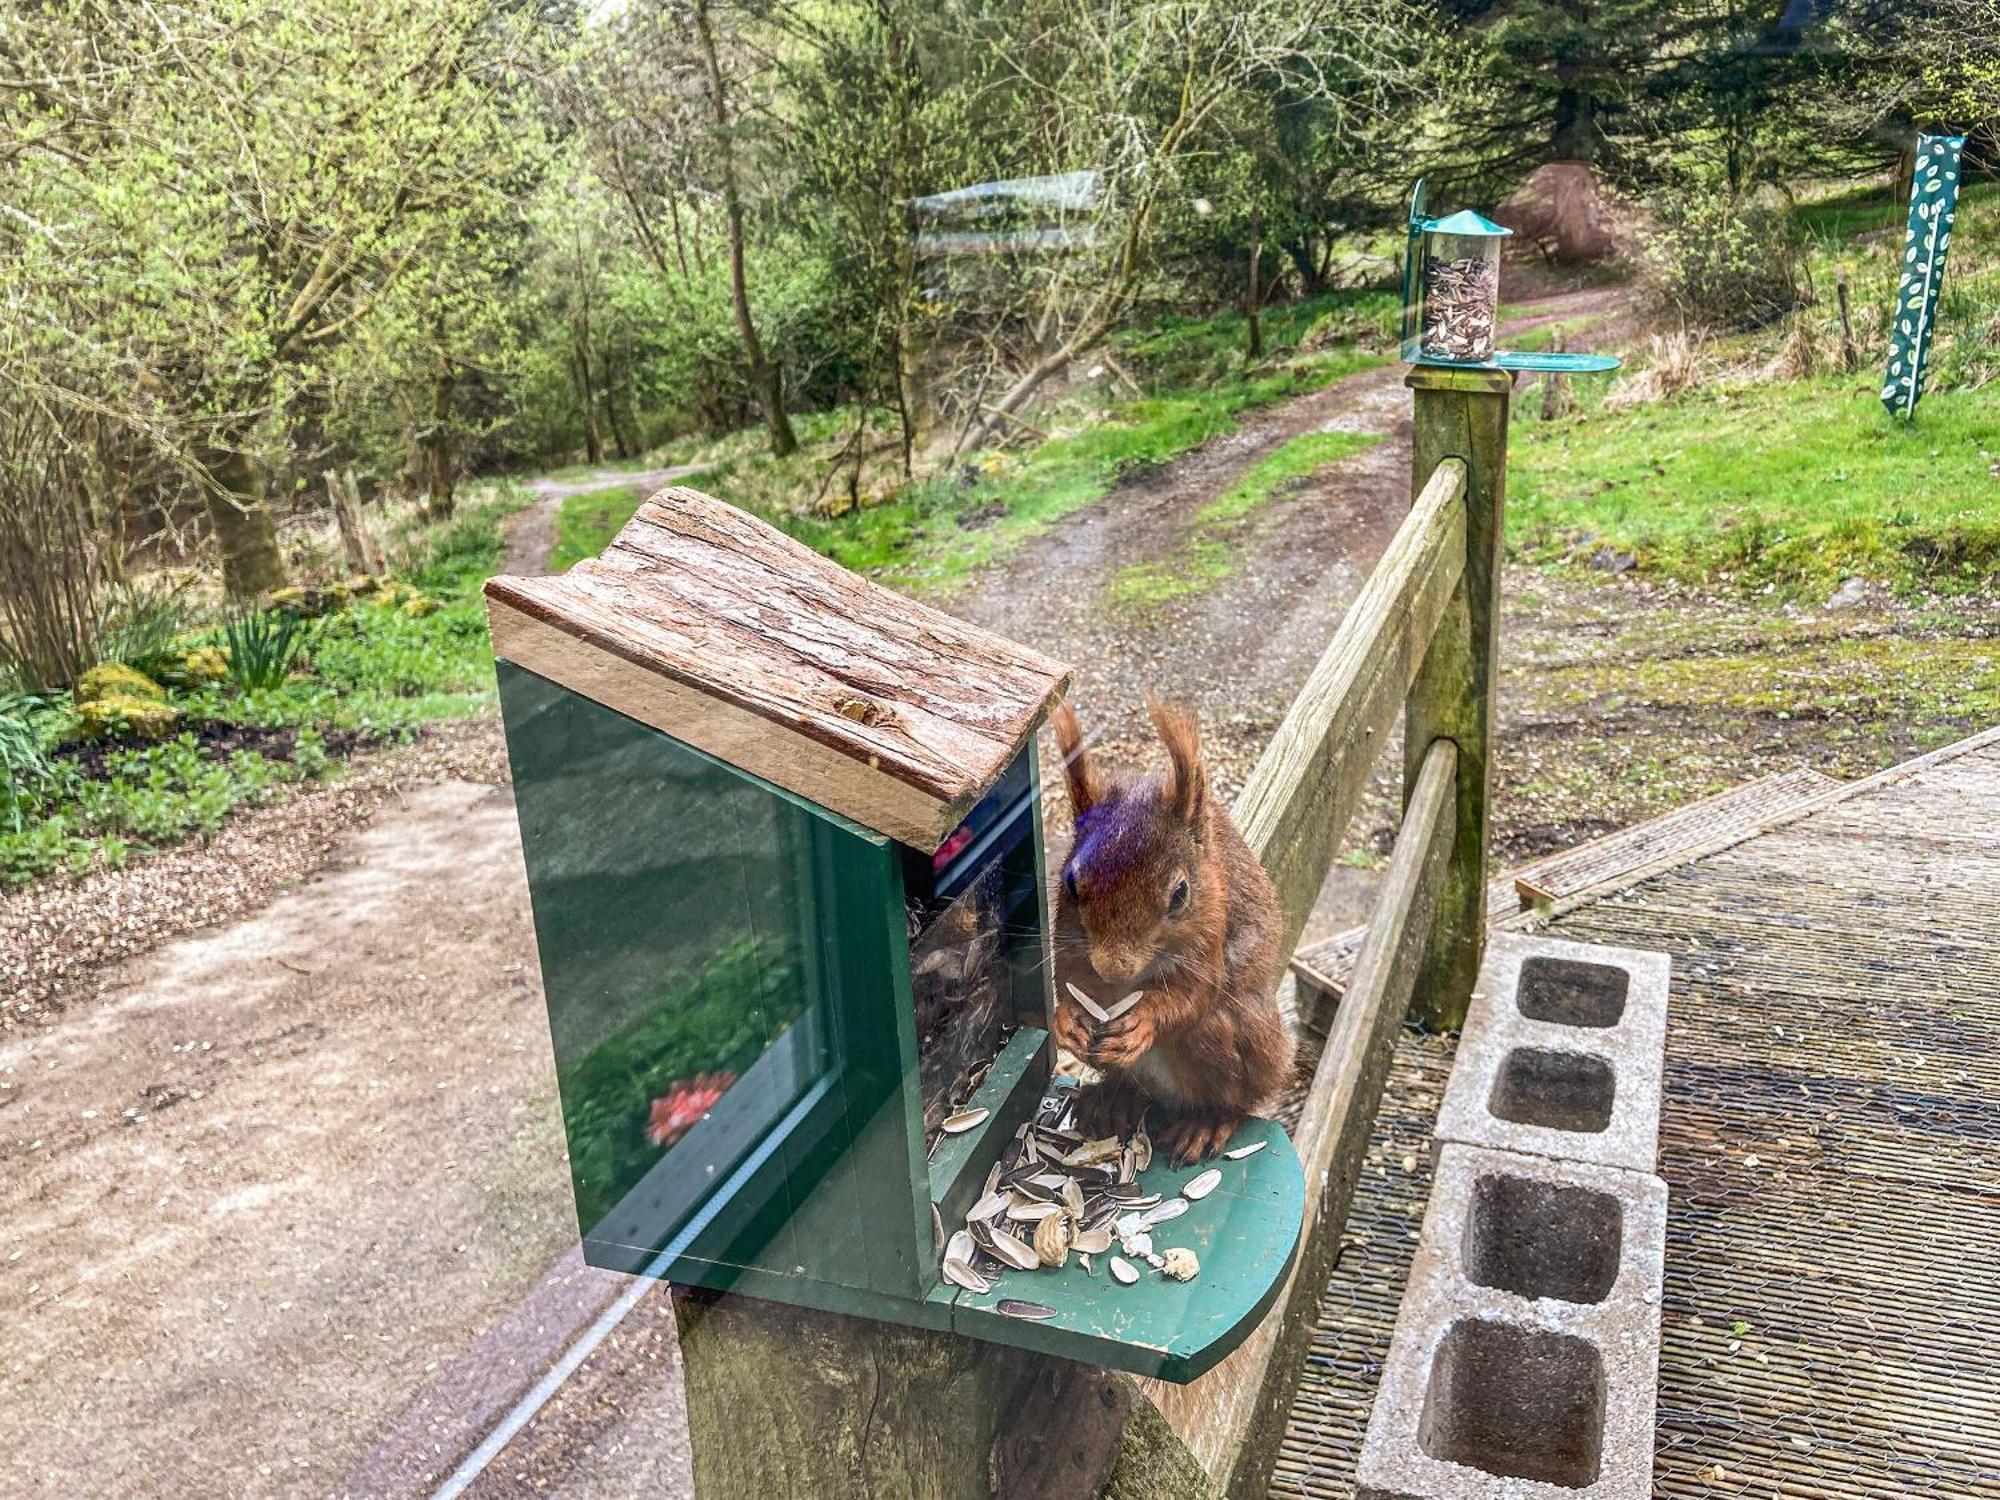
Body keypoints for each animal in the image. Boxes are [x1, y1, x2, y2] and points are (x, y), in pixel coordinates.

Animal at [1056, 700, 1288, 1168]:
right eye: (1071, 880)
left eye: (1180, 893)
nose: (1112, 969)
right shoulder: (1066, 936)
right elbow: (1063, 980)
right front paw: (1068, 1020)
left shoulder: (1209, 938)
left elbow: (1193, 996)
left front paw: (1143, 1019)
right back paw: (1112, 1102)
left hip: (1235, 1040)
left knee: (1234, 1097)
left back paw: (1207, 1122)